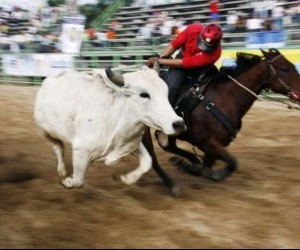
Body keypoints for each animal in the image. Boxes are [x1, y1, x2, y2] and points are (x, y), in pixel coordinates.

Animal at [34, 63, 185, 188]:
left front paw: (125, 179)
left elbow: (147, 162)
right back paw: (62, 173)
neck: (114, 116)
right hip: (47, 131)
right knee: (59, 149)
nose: (178, 123)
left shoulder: (130, 143)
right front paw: (67, 181)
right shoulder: (80, 151)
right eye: (144, 94)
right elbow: (78, 181)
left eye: (166, 92)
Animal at [142, 47, 300, 195]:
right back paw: (172, 183)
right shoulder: (209, 142)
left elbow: (207, 166)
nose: (299, 92)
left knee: (169, 146)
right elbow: (231, 163)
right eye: (285, 69)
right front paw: (213, 174)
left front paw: (190, 167)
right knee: (153, 157)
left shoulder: (212, 146)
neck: (225, 98)